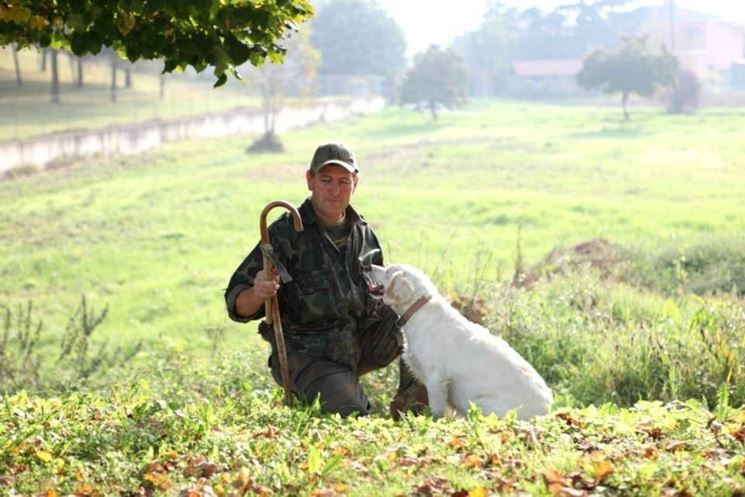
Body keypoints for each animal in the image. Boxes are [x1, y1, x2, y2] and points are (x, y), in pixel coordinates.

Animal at [368, 264, 552, 418]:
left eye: (388, 270)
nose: (367, 265)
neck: (419, 311)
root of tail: (547, 409)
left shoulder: (436, 379)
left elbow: (436, 412)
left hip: (480, 403)